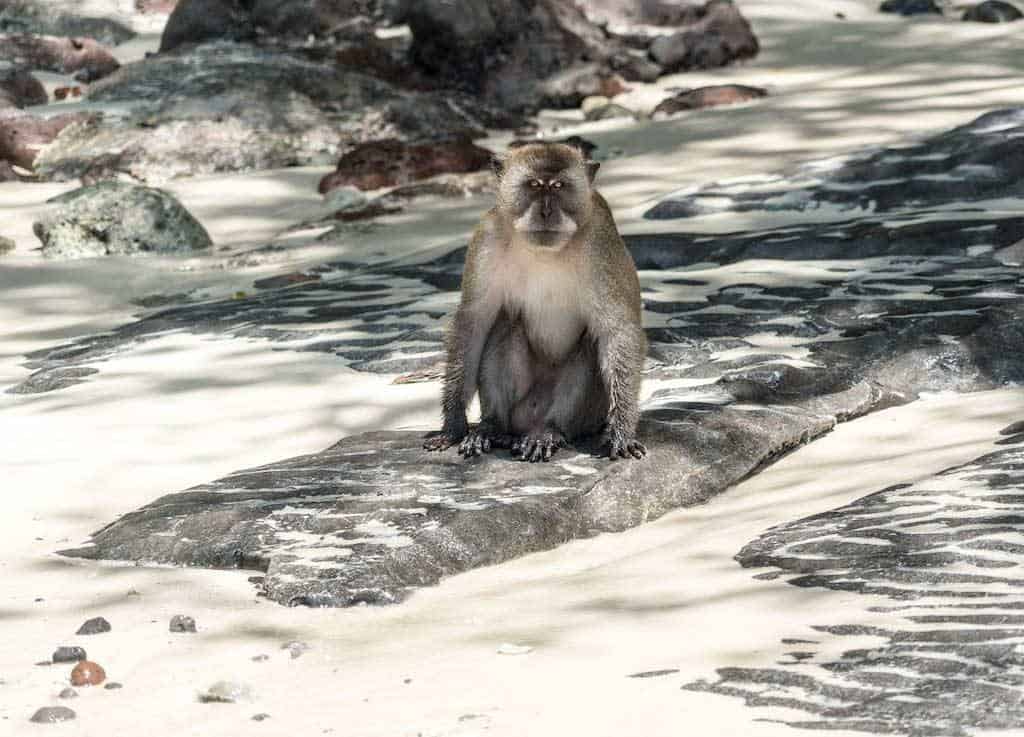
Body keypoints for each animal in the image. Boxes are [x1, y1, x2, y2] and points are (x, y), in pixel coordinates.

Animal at [423, 142, 647, 462]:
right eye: (533, 185)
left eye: (558, 186)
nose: (546, 211)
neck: (545, 252)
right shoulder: (487, 236)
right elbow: (473, 323)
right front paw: (453, 426)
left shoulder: (600, 242)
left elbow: (618, 331)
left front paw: (622, 432)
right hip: (519, 409)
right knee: (506, 324)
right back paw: (492, 426)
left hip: (585, 417)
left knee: (589, 345)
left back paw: (548, 431)